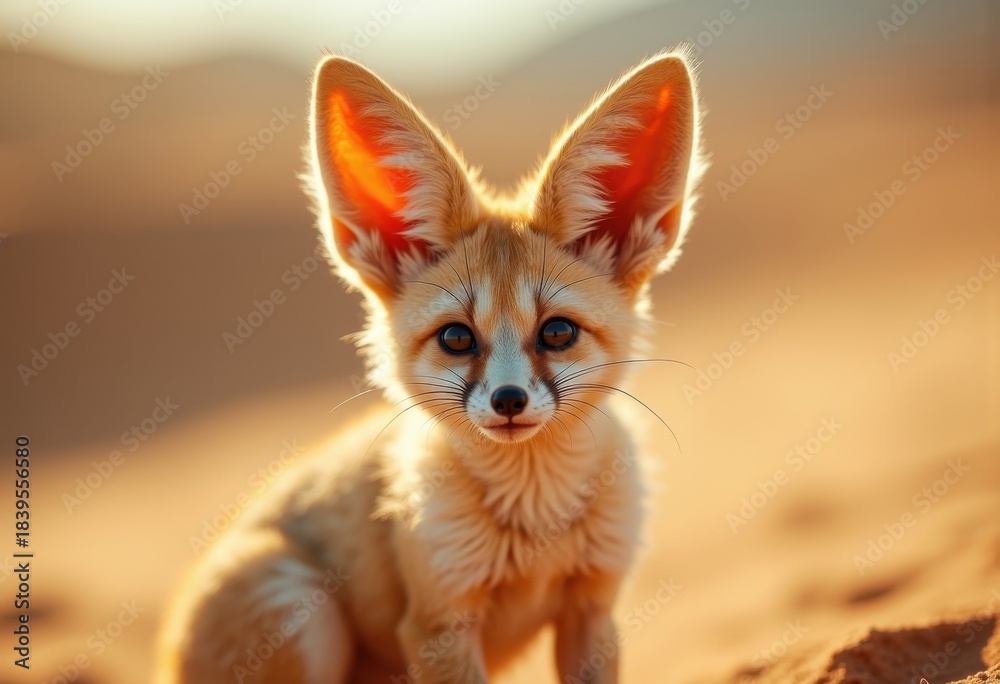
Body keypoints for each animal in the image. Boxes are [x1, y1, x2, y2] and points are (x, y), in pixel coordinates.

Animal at [156, 48, 704, 684]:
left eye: (557, 332)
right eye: (457, 338)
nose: (509, 400)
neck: (533, 529)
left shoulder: (592, 608)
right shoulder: (438, 625)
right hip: (300, 607)